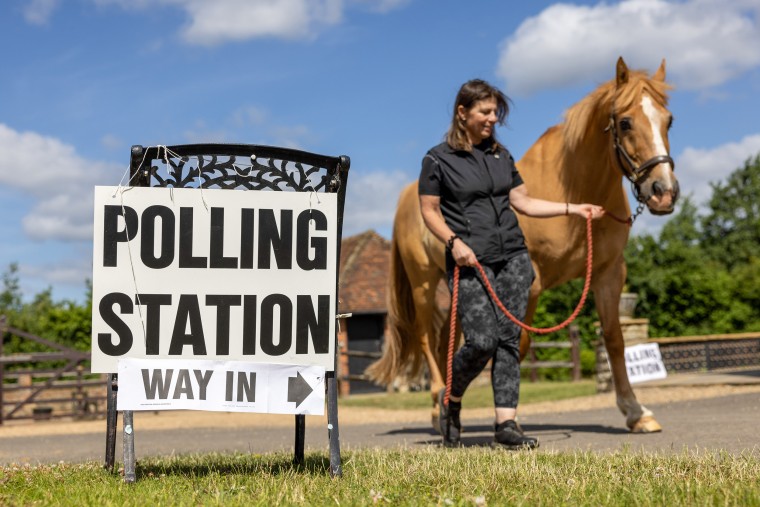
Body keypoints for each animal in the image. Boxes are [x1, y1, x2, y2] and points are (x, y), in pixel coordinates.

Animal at [366, 58, 676, 432]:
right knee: (427, 338)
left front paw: (636, 413)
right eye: (626, 122)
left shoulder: (609, 273)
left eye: (669, 120)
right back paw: (440, 405)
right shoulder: (533, 280)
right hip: (423, 286)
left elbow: (614, 339)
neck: (571, 185)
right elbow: (520, 343)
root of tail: (408, 195)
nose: (663, 192)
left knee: (446, 342)